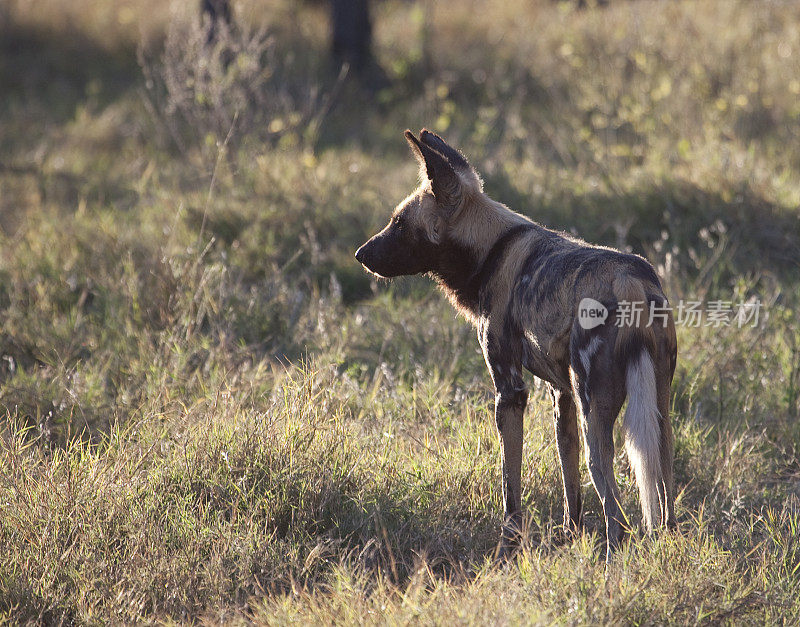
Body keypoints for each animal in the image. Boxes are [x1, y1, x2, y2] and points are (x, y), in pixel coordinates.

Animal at [356, 127, 676, 560]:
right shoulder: (562, 395)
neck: (490, 248)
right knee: (663, 487)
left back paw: (613, 558)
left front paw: (509, 544)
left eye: (401, 225)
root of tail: (631, 283)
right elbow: (569, 484)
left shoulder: (509, 392)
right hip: (658, 411)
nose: (360, 253)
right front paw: (569, 537)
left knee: (613, 505)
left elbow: (510, 481)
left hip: (597, 420)